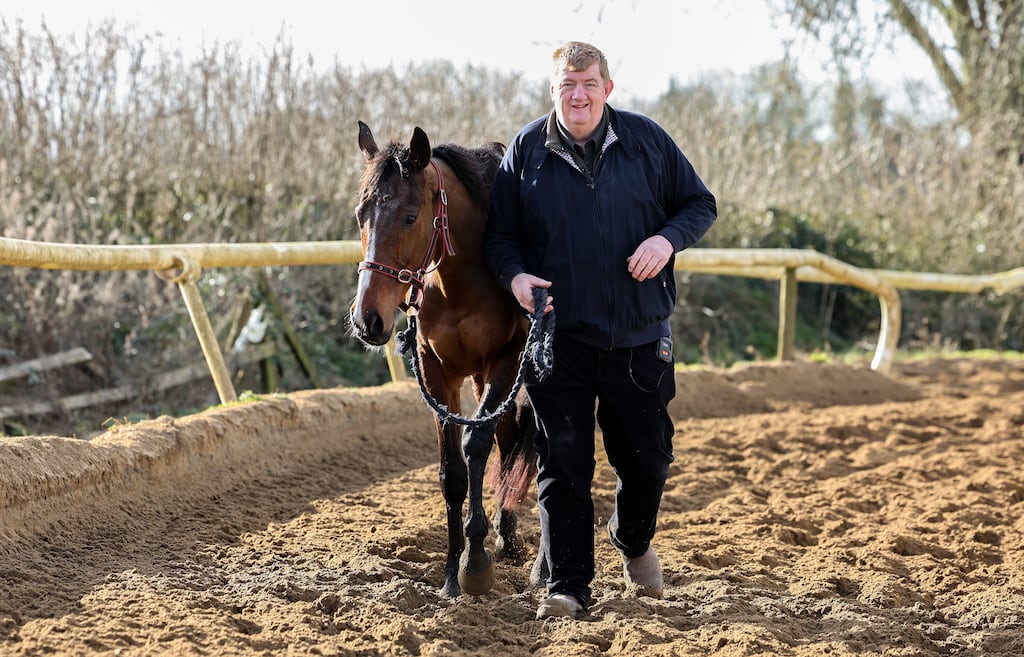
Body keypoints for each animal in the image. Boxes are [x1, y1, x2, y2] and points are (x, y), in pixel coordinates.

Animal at [349, 121, 538, 598]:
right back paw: (506, 537)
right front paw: (453, 572)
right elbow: (452, 470)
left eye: (410, 216)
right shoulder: (438, 372)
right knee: (509, 440)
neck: (461, 282)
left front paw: (476, 561)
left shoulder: (506, 362)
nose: (367, 319)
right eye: (361, 214)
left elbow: (476, 445)